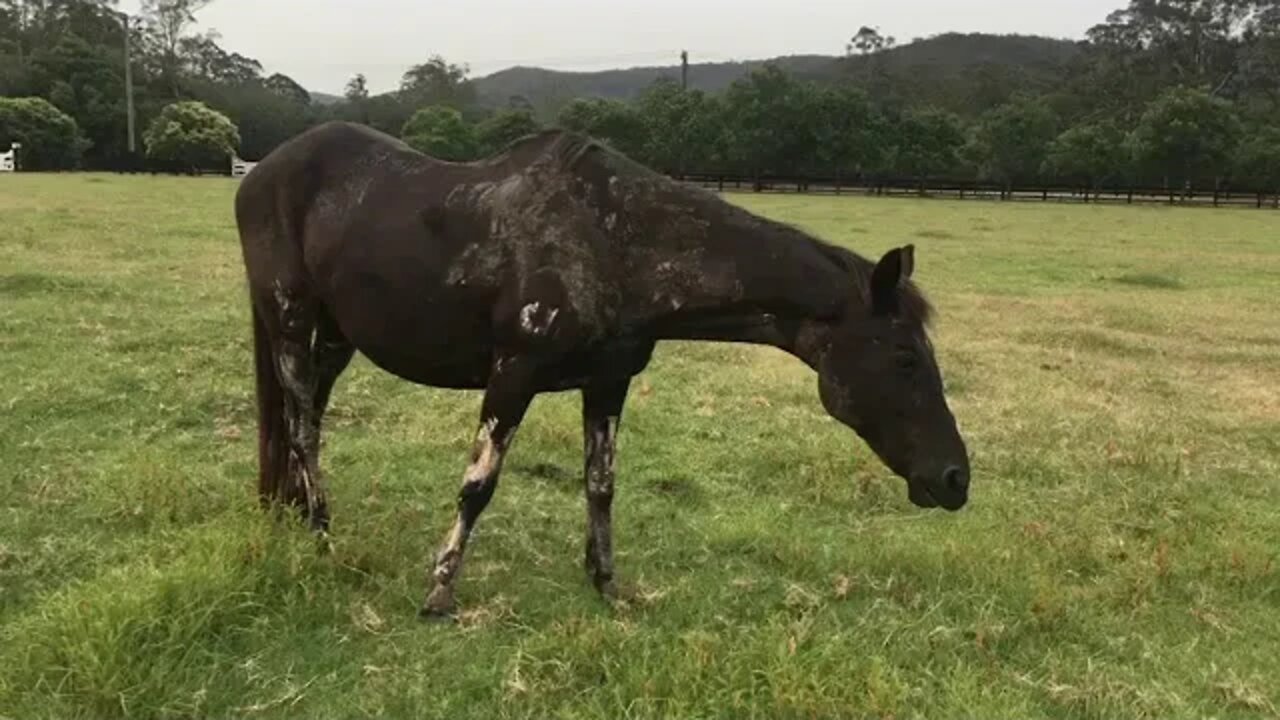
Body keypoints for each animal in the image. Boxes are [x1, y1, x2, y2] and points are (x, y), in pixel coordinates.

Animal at [235, 120, 967, 614]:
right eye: (905, 357)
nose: (955, 479)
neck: (618, 243)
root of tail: (262, 171)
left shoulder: (608, 383)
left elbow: (601, 485)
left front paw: (607, 583)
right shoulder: (514, 374)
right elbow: (478, 486)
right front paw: (441, 588)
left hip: (335, 339)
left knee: (306, 422)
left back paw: (294, 514)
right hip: (292, 323)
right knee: (302, 429)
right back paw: (321, 535)